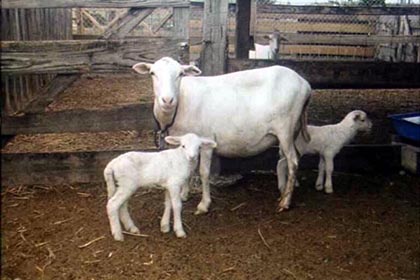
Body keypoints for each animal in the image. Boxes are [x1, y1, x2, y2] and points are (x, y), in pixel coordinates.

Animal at [132, 58, 312, 213]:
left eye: (181, 74)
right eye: (152, 73)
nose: (167, 100)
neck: (181, 104)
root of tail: (305, 84)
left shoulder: (205, 141)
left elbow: (203, 172)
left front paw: (204, 205)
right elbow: (189, 168)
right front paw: (184, 195)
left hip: (285, 129)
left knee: (293, 161)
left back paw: (285, 202)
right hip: (293, 130)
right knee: (293, 157)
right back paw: (288, 189)